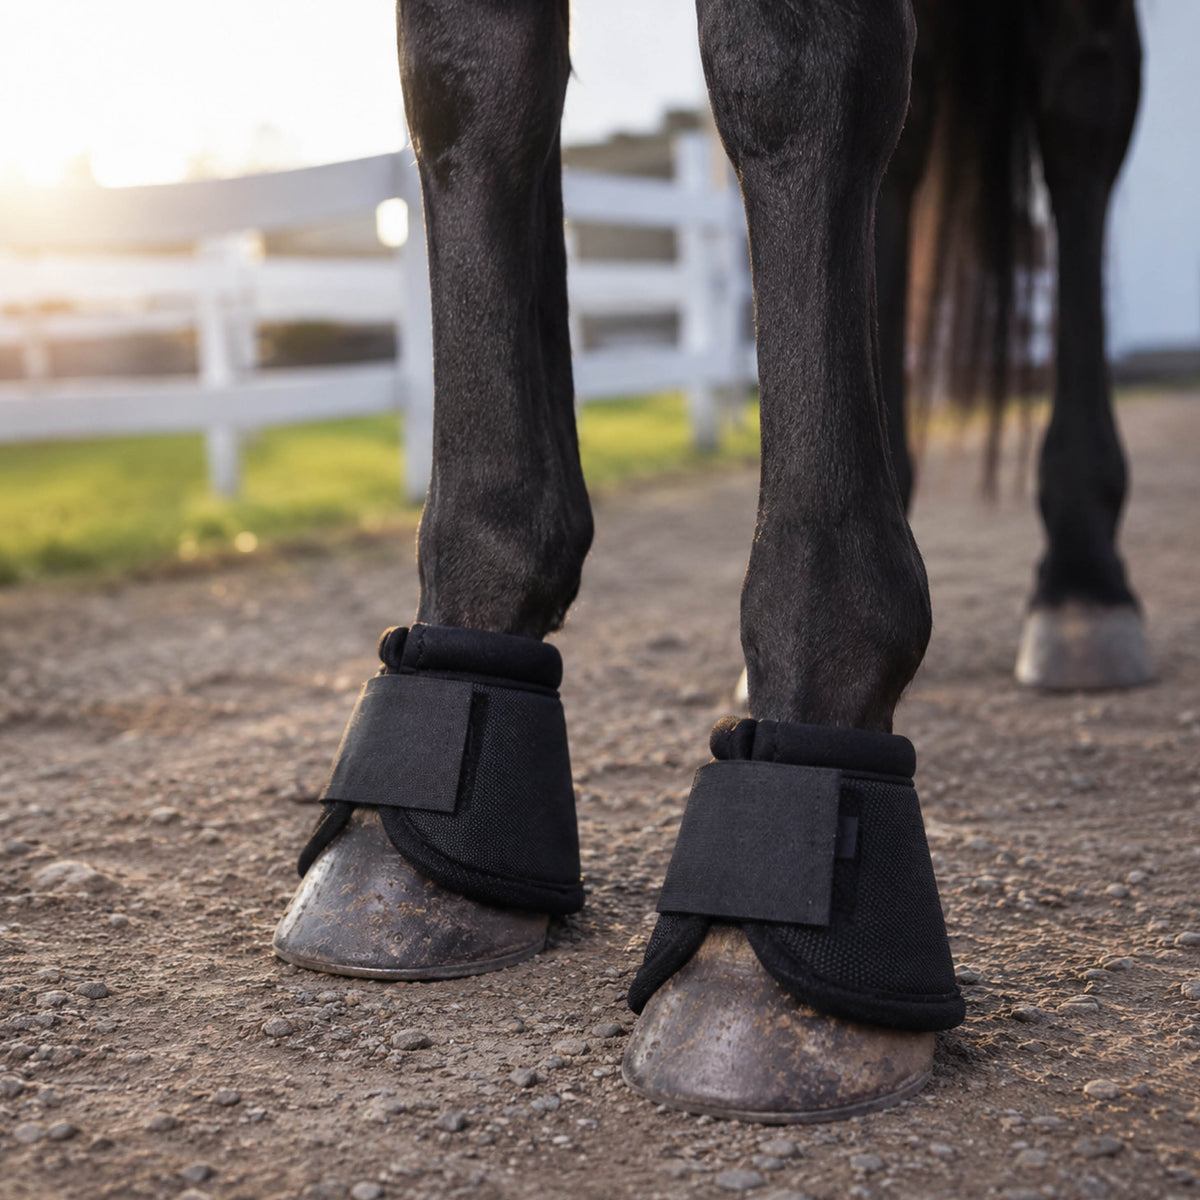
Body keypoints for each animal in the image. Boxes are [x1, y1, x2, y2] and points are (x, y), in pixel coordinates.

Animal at [273, 0, 1146, 1124]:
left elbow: (788, 81)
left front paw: (819, 694)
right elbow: (468, 85)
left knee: (1083, 110)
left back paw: (1085, 583)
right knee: (907, 161)